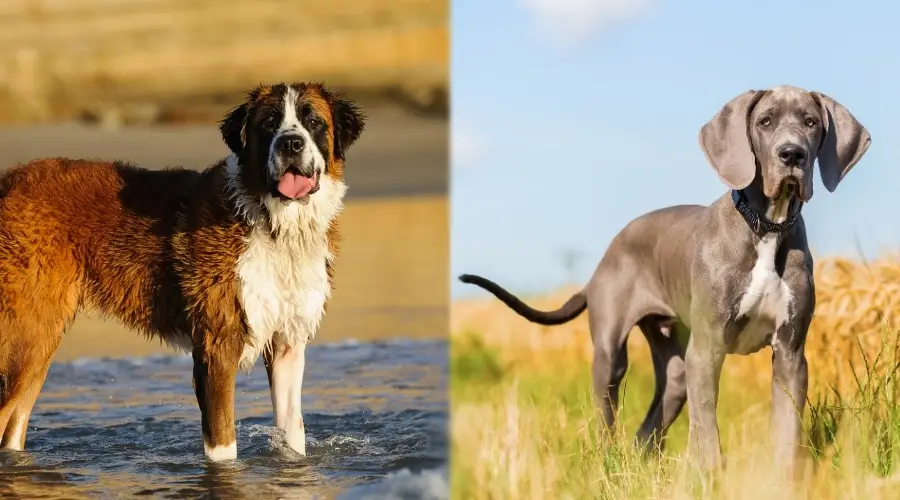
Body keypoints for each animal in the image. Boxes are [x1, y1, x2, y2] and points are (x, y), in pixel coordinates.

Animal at [0, 81, 366, 460]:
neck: (273, 225)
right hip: (28, 335)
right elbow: (224, 446)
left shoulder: (287, 345)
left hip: (37, 343)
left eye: (313, 122)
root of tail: (10, 181)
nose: (291, 143)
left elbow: (292, 432)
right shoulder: (218, 346)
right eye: (269, 123)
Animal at [460, 86, 868, 472]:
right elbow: (707, 430)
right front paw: (710, 476)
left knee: (647, 429)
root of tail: (602, 260)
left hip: (675, 367)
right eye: (765, 121)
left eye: (811, 122)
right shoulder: (707, 348)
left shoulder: (790, 353)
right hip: (611, 356)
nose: (792, 154)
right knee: (608, 417)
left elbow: (786, 428)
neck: (766, 226)